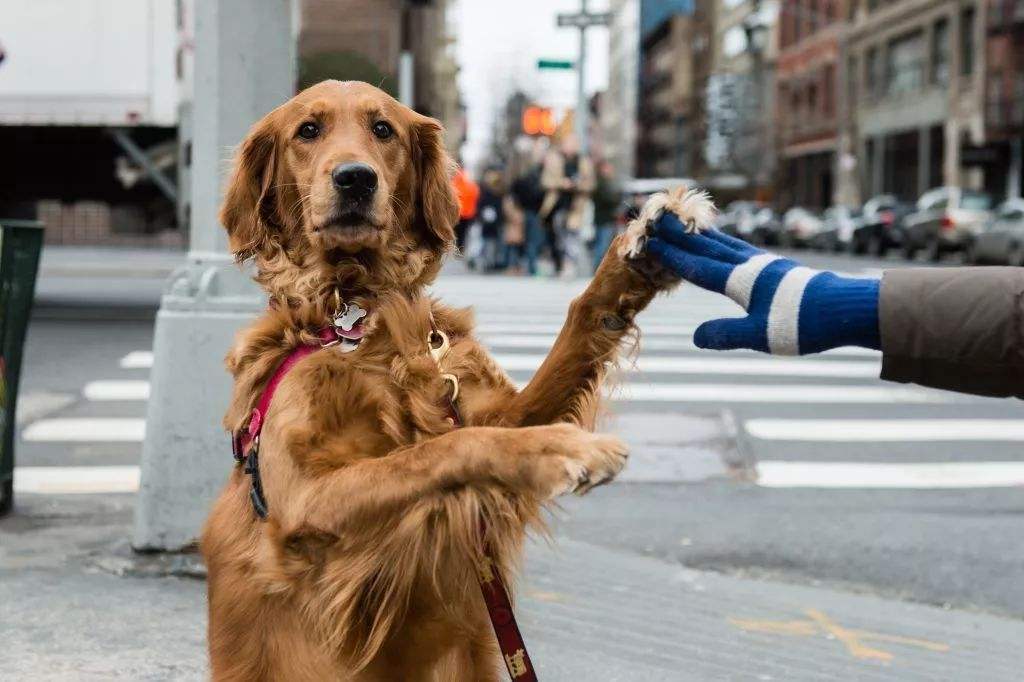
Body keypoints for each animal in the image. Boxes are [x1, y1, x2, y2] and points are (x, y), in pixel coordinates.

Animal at [199, 76, 712, 675]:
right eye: (308, 130)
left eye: (383, 129)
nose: (355, 177)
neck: (357, 316)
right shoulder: (304, 504)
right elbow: (444, 448)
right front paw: (564, 449)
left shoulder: (491, 405)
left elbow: (576, 328)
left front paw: (640, 251)